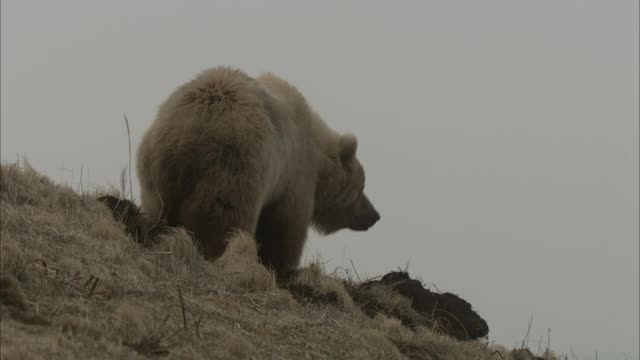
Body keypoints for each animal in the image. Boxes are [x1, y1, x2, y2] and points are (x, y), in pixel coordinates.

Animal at [134, 67, 376, 274]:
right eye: (362, 187)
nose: (374, 215)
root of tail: (186, 128)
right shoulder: (293, 176)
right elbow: (286, 226)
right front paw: (284, 266)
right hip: (233, 165)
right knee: (224, 219)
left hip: (155, 167)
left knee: (158, 209)